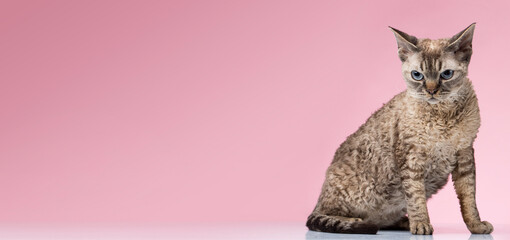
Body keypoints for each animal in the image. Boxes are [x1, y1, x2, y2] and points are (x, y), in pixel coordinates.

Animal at [304, 23, 492, 235]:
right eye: (417, 75)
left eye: (446, 74)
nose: (431, 91)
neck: (443, 115)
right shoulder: (411, 158)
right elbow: (416, 197)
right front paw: (421, 224)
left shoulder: (465, 154)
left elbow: (469, 198)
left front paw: (476, 225)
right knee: (322, 216)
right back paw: (360, 221)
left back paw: (400, 222)